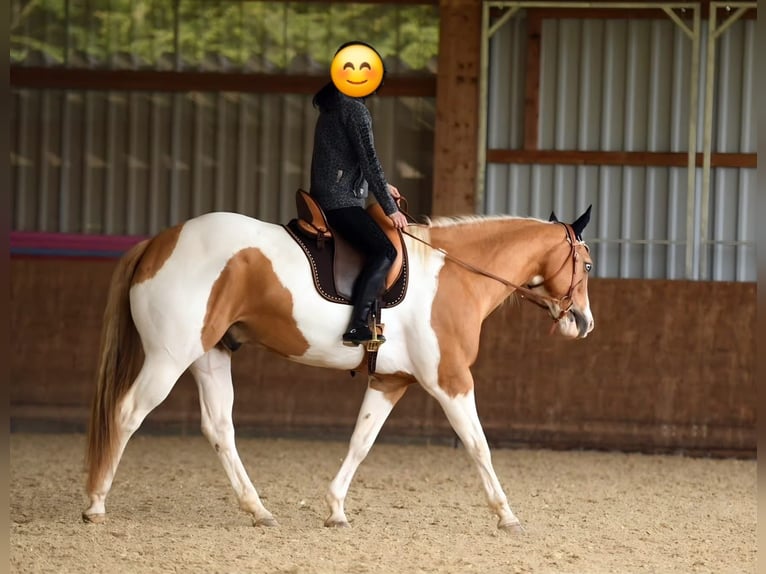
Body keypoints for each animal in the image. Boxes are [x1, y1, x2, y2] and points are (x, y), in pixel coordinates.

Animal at [82, 203, 594, 531]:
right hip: (169, 357)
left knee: (220, 429)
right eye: (587, 265)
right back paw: (96, 503)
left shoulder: (391, 381)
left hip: (210, 356)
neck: (453, 275)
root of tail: (158, 242)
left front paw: (335, 509)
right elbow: (479, 446)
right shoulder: (449, 381)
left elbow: (360, 442)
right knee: (127, 414)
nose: (583, 322)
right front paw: (506, 514)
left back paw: (258, 510)